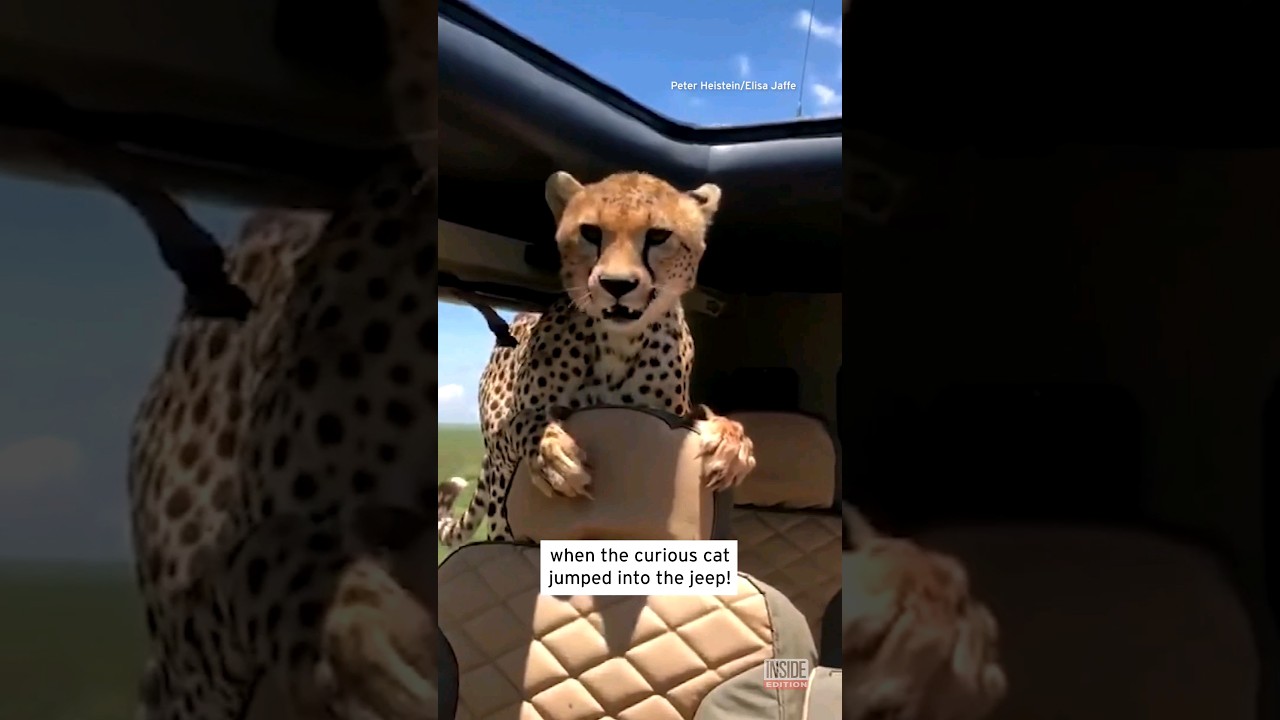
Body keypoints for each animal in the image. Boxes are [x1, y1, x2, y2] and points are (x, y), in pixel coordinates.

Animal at [438, 169, 757, 547]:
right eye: (590, 232)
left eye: (658, 235)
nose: (616, 284)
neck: (617, 343)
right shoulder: (504, 441)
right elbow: (525, 421)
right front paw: (551, 454)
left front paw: (732, 445)